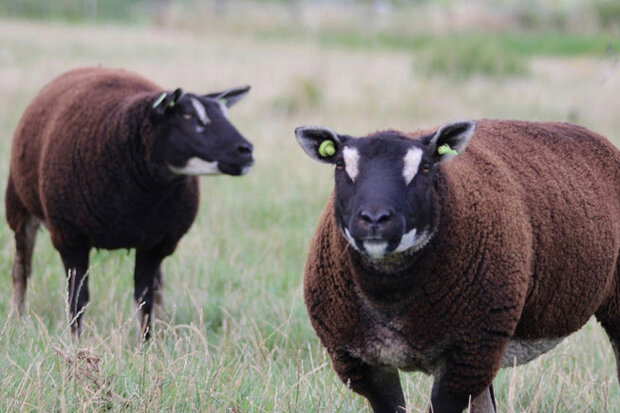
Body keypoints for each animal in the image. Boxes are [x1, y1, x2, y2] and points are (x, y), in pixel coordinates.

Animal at [6, 67, 253, 338]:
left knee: (158, 287)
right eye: (188, 115)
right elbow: (77, 301)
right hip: (19, 207)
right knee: (21, 270)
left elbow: (144, 300)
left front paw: (147, 344)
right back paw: (17, 318)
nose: (246, 151)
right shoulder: (70, 238)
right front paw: (76, 343)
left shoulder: (154, 244)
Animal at [296, 117, 620, 410]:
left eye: (426, 168)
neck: (389, 295)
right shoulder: (362, 363)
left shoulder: (466, 356)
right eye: (340, 166)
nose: (375, 219)